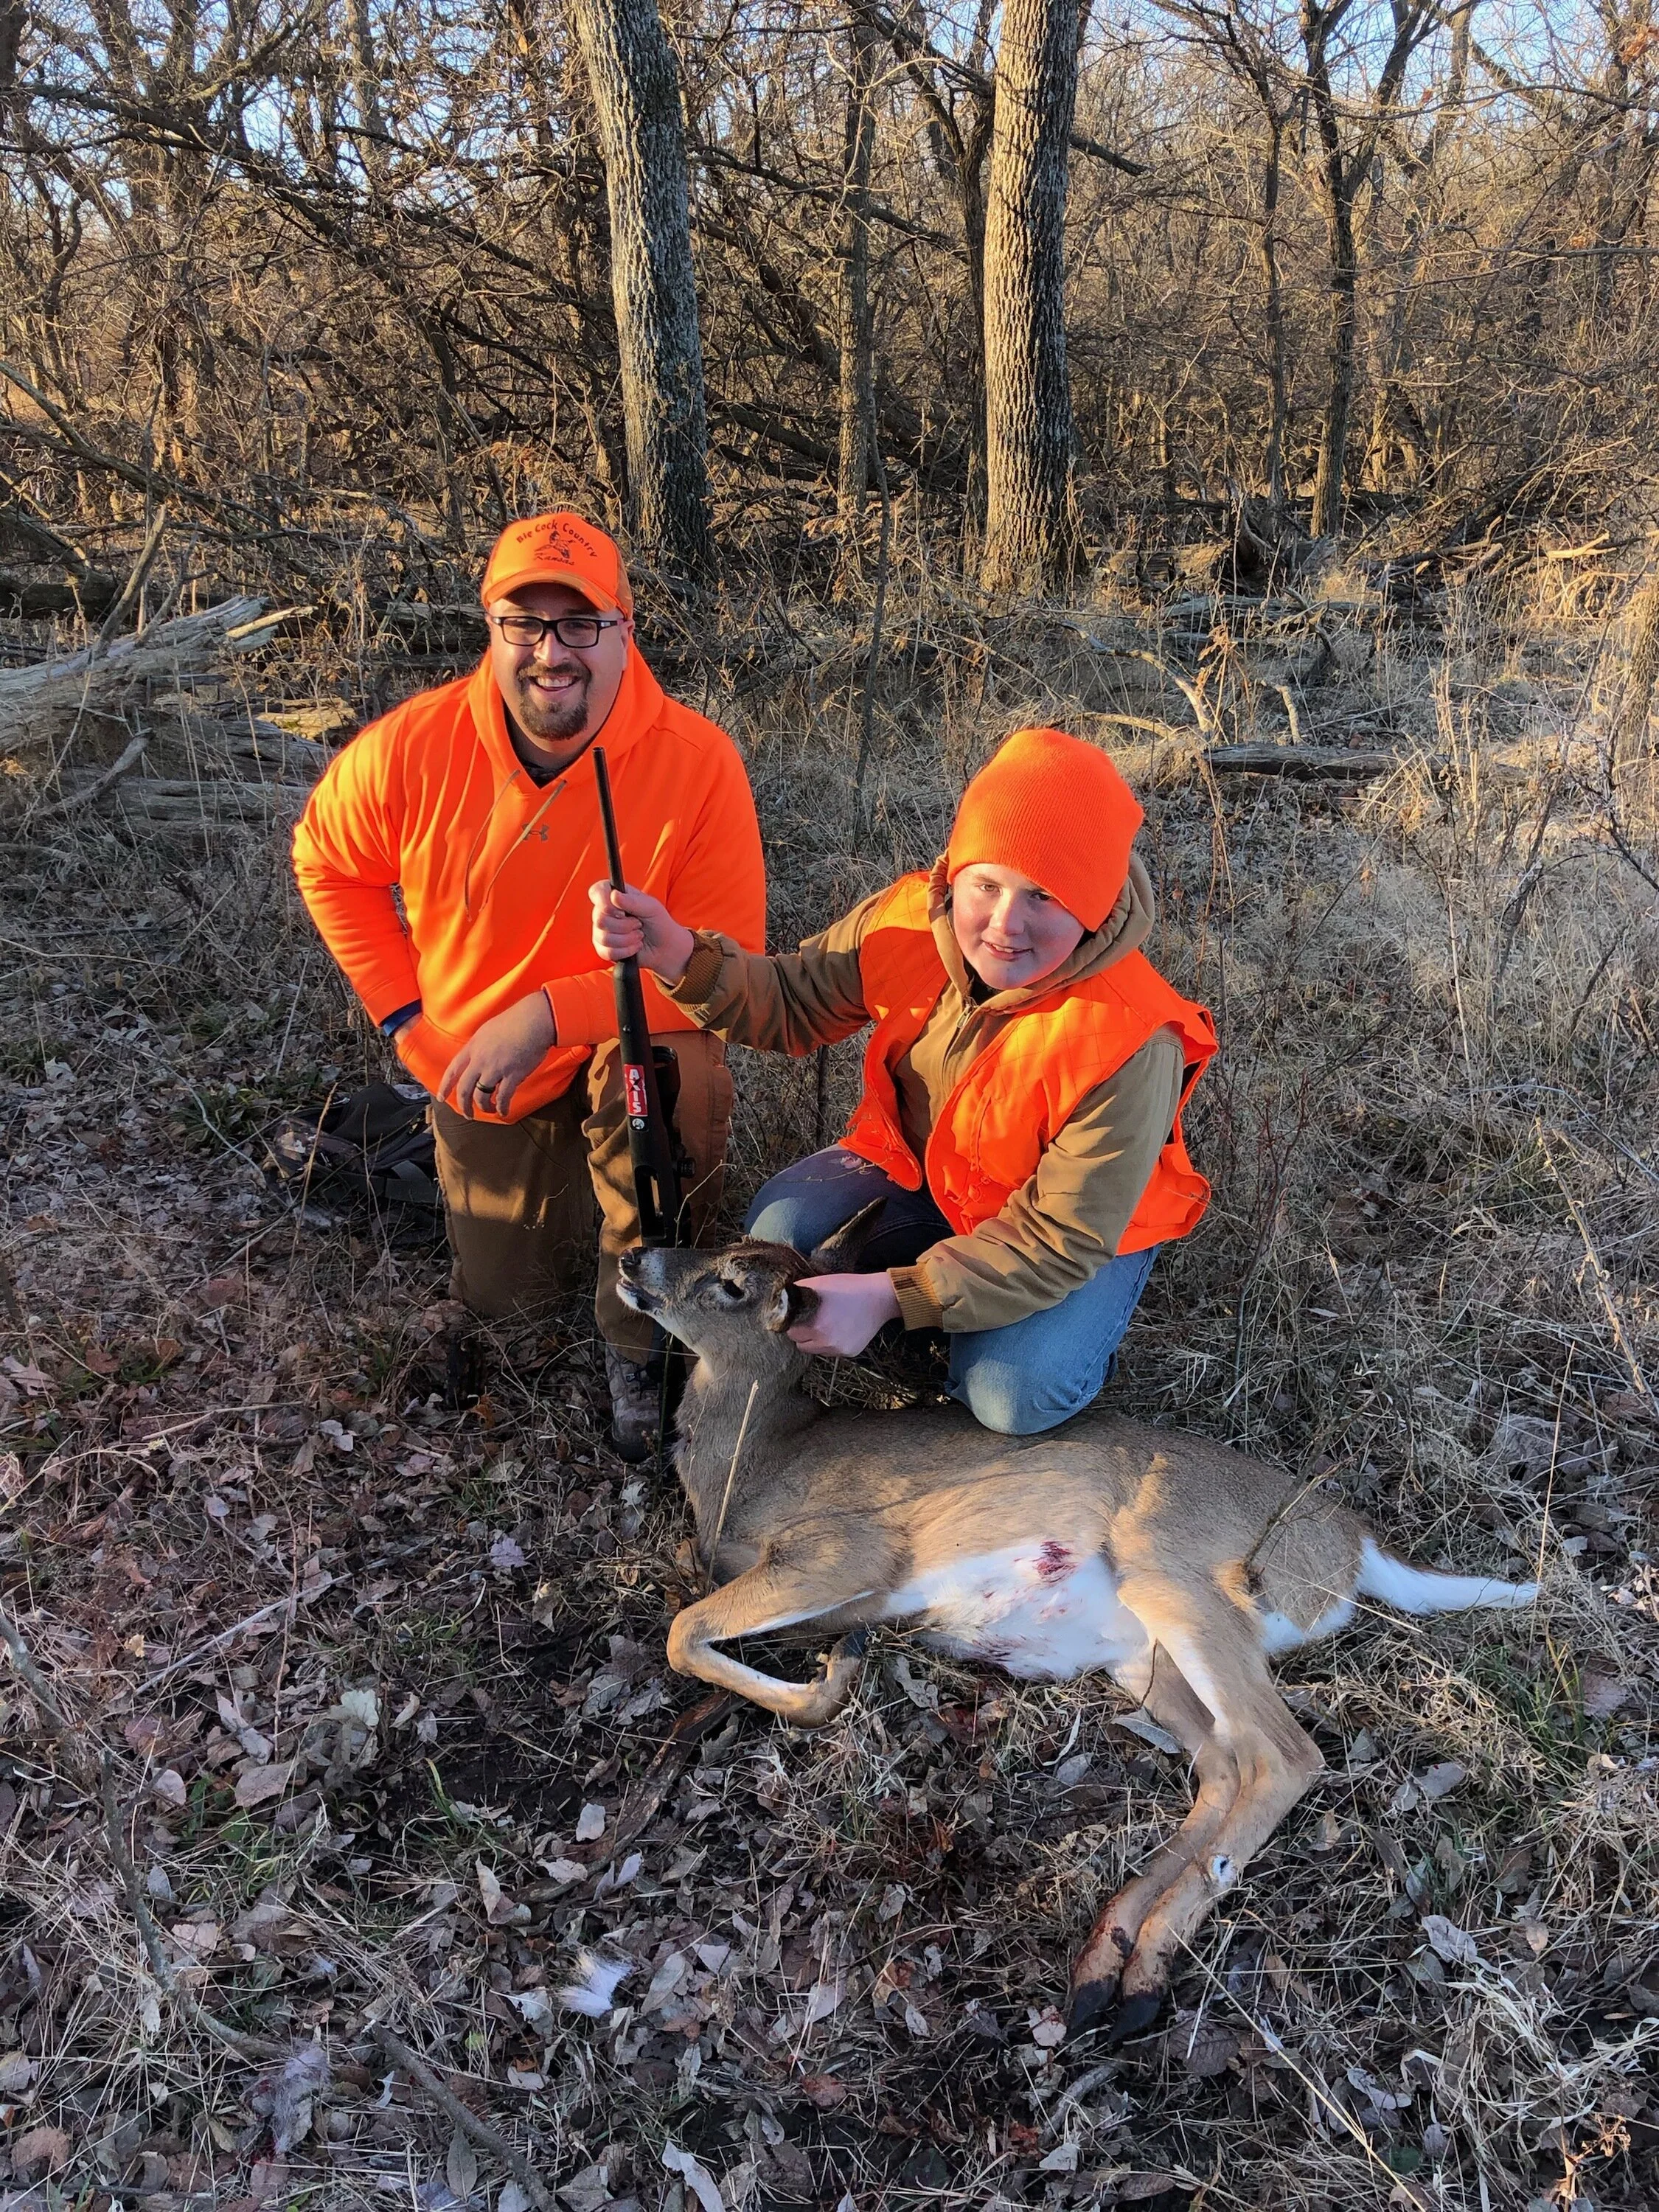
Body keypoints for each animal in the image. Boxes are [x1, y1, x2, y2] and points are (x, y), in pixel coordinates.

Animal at [616, 1206, 1539, 2045]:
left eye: (733, 1286)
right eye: (724, 1241)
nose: (633, 1257)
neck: (752, 1464)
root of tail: (1351, 1546)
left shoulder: (847, 1551)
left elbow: (684, 1633)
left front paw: (835, 1679)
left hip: (1177, 1575)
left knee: (1285, 1755)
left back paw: (1138, 1972)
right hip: (1146, 1658)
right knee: (1222, 1765)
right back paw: (1111, 1970)